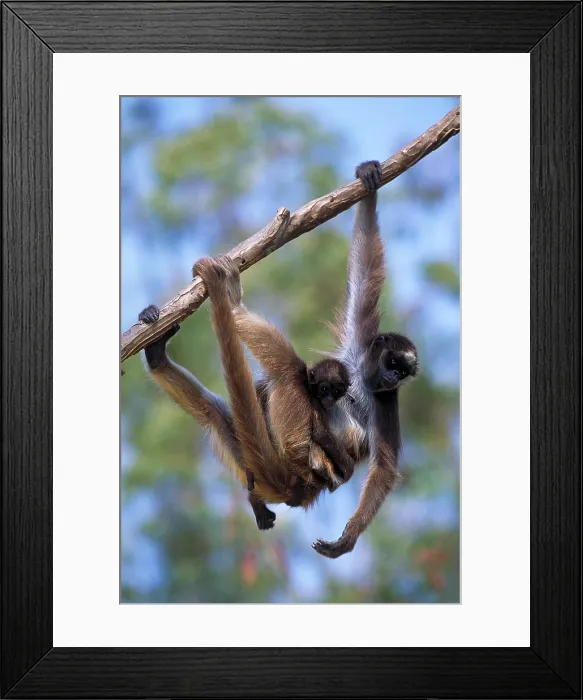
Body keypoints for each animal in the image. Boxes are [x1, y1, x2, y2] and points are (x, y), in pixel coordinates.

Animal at [138, 256, 354, 532]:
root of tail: (295, 484)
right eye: (325, 389)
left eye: (334, 391)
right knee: (213, 413)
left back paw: (233, 302)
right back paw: (156, 356)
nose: (327, 398)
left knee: (285, 367)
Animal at [309, 159, 419, 559]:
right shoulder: (361, 339)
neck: (362, 376)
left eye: (402, 374)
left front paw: (349, 536)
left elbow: (384, 468)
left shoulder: (387, 401)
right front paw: (369, 178)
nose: (393, 378)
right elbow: (366, 267)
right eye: (393, 364)